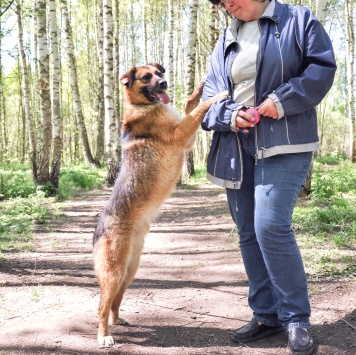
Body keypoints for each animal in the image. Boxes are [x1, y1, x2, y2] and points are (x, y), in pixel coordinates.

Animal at [92, 63, 225, 348]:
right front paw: (218, 96)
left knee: (115, 302)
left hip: (129, 270)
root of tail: (98, 231)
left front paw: (200, 85)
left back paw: (118, 320)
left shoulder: (184, 129)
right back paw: (103, 336)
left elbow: (190, 103)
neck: (145, 107)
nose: (164, 83)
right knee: (101, 307)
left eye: (159, 72)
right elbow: (199, 109)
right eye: (146, 78)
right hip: (113, 273)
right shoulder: (181, 134)